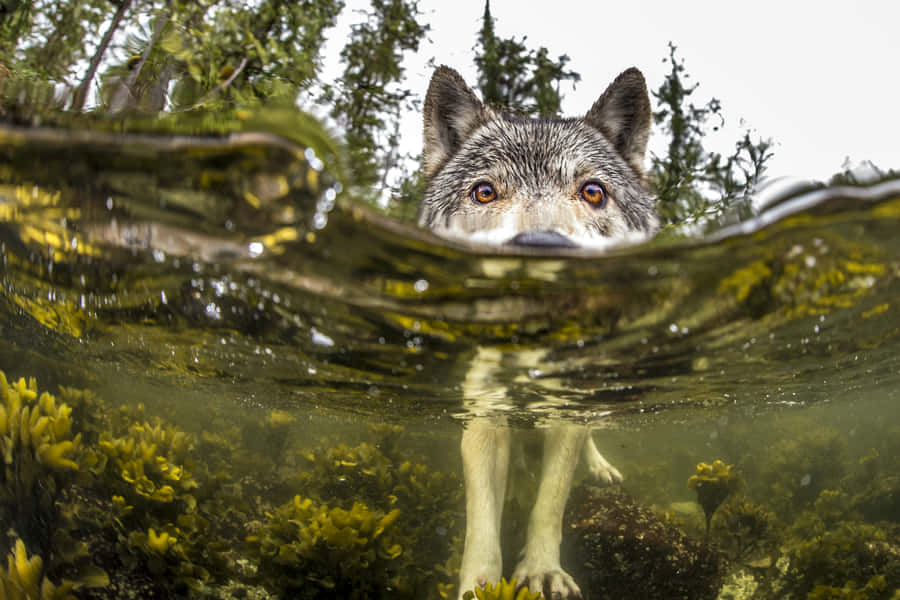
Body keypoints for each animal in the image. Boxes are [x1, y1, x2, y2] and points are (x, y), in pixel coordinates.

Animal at [418, 66, 657, 599]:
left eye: (593, 191)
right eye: (485, 192)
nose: (542, 248)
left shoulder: (565, 414)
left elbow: (550, 502)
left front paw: (543, 572)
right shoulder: (484, 416)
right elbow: (482, 520)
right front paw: (479, 586)